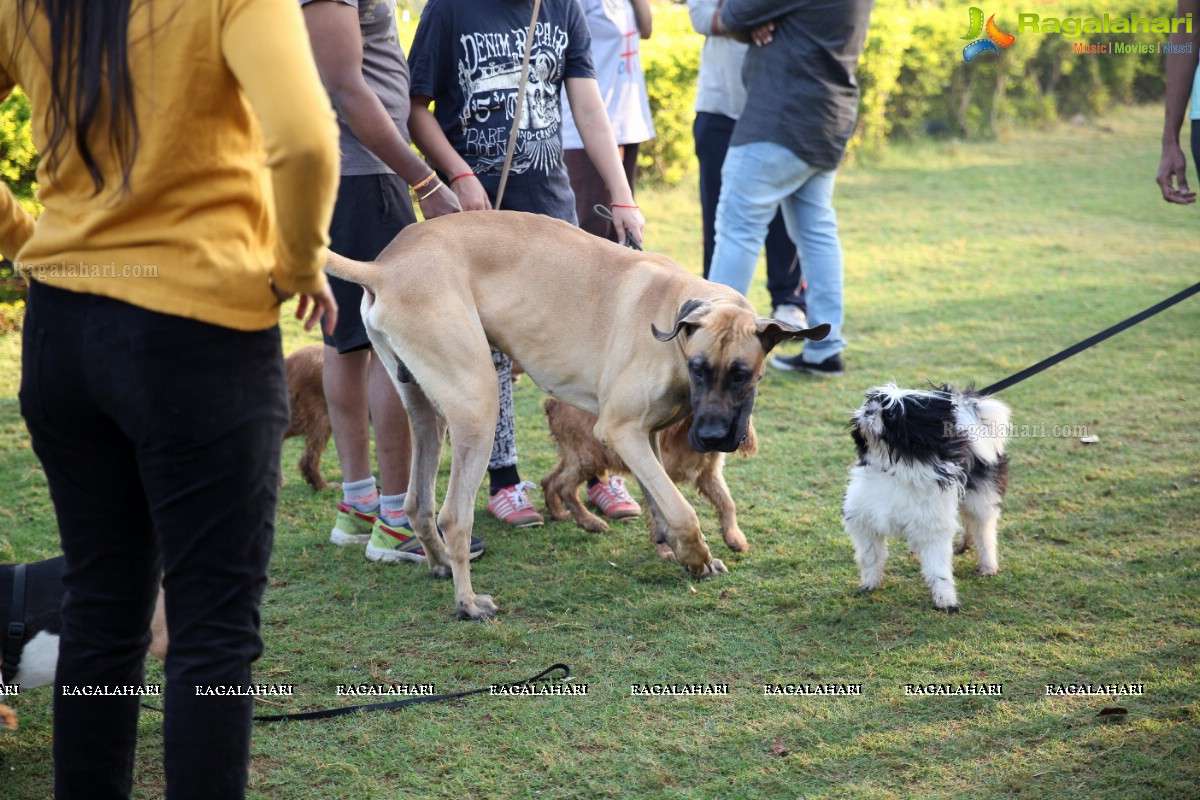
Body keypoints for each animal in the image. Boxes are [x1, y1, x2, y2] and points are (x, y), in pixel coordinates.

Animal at [542, 398, 753, 554]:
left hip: (576, 456)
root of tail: (552, 402)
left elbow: (727, 503)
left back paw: (558, 513)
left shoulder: (709, 475)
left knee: (548, 479)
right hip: (588, 457)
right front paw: (666, 551)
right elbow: (661, 516)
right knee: (564, 486)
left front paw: (735, 538)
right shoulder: (655, 475)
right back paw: (590, 522)